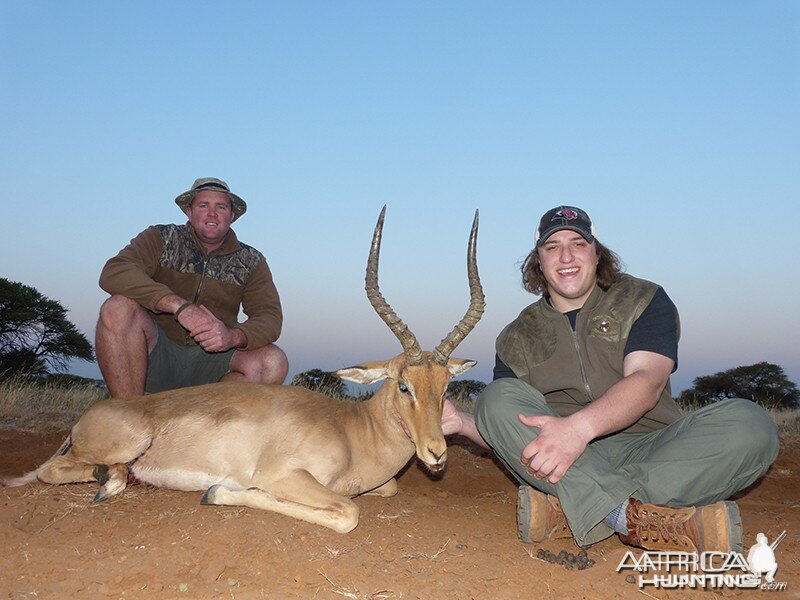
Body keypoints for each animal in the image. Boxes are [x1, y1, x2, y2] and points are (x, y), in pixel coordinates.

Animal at [0, 207, 484, 536]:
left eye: (445, 387)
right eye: (403, 386)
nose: (437, 453)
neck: (352, 429)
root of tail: (86, 420)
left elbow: (384, 491)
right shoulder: (284, 475)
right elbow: (347, 511)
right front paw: (221, 492)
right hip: (129, 439)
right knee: (50, 471)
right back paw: (113, 483)